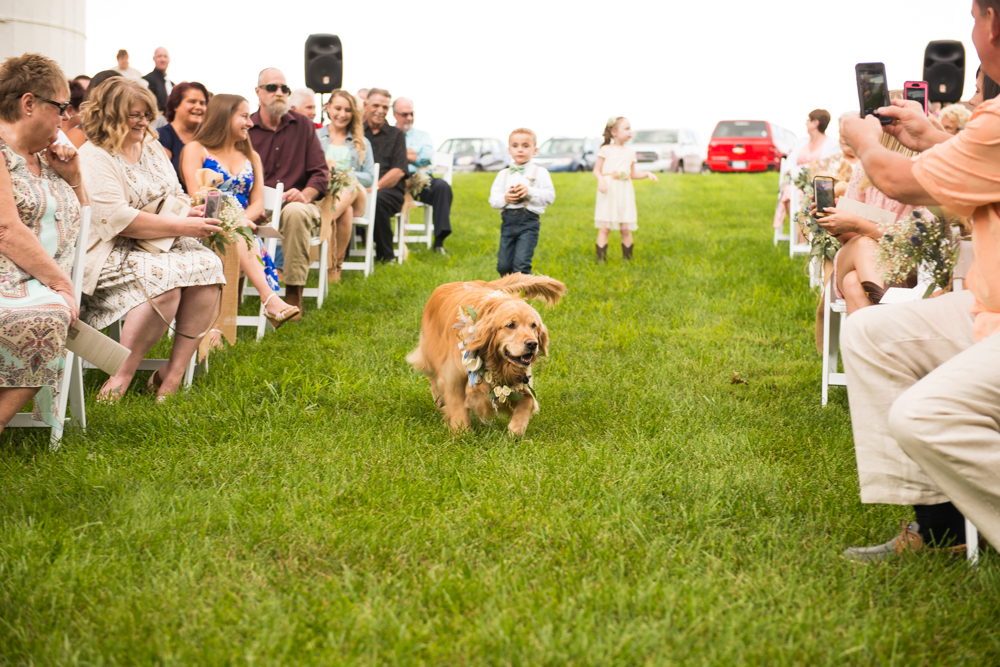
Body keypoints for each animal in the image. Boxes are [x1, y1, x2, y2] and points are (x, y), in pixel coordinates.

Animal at [404, 272, 564, 438]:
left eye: (534, 325)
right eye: (511, 325)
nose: (532, 344)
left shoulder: (518, 383)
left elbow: (528, 401)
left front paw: (515, 431)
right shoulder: (453, 380)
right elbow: (458, 408)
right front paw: (462, 434)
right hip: (430, 355)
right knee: (433, 379)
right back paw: (439, 400)